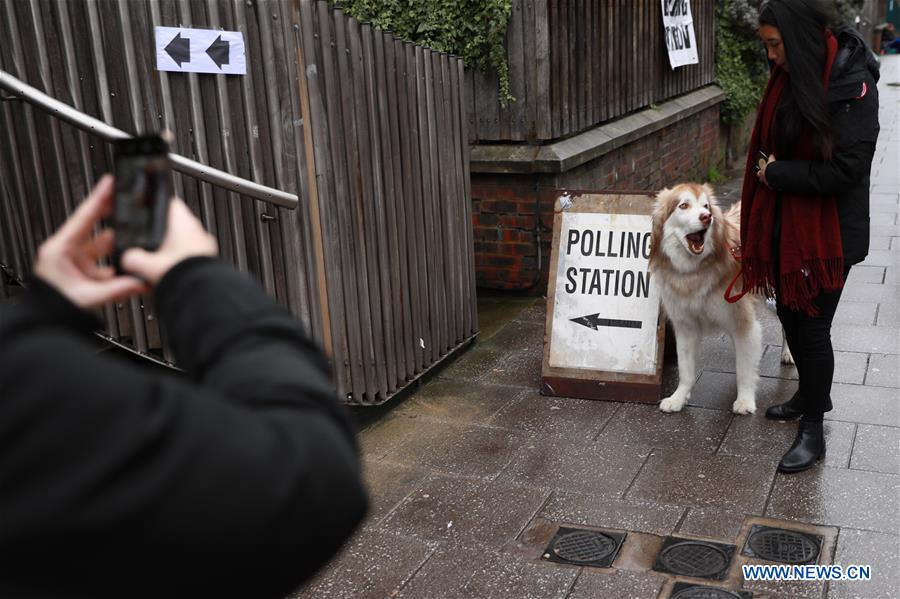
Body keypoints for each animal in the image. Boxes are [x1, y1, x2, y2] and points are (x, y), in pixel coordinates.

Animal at [648, 183, 768, 414]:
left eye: (706, 206)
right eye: (683, 205)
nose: (707, 217)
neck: (693, 273)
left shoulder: (743, 322)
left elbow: (745, 369)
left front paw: (745, 400)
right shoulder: (685, 325)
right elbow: (685, 369)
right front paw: (678, 398)